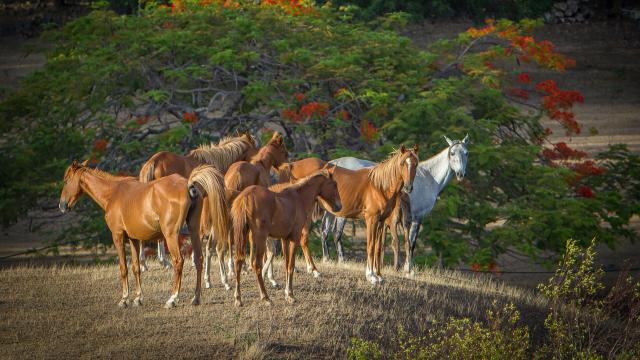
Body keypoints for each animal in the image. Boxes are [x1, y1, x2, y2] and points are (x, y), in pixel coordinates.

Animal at [57, 162, 228, 308]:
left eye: (66, 180)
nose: (62, 205)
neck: (113, 193)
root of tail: (188, 184)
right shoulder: (134, 239)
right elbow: (136, 267)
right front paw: (138, 298)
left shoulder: (118, 237)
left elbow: (123, 268)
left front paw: (124, 299)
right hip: (193, 230)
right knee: (199, 259)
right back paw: (196, 298)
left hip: (171, 236)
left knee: (178, 262)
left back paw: (172, 299)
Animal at [229, 167, 340, 306]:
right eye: (334, 184)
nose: (339, 206)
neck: (299, 198)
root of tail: (245, 197)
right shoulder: (294, 238)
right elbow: (291, 265)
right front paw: (291, 295)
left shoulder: (284, 239)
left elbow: (286, 264)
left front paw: (287, 292)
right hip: (260, 238)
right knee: (256, 264)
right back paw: (265, 297)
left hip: (243, 235)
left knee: (238, 260)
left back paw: (238, 298)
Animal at [322, 135, 468, 272]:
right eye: (452, 153)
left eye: (466, 153)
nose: (460, 174)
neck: (429, 177)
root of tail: (333, 163)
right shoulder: (417, 218)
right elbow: (411, 242)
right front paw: (408, 268)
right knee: (337, 233)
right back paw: (342, 261)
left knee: (324, 231)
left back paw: (327, 258)